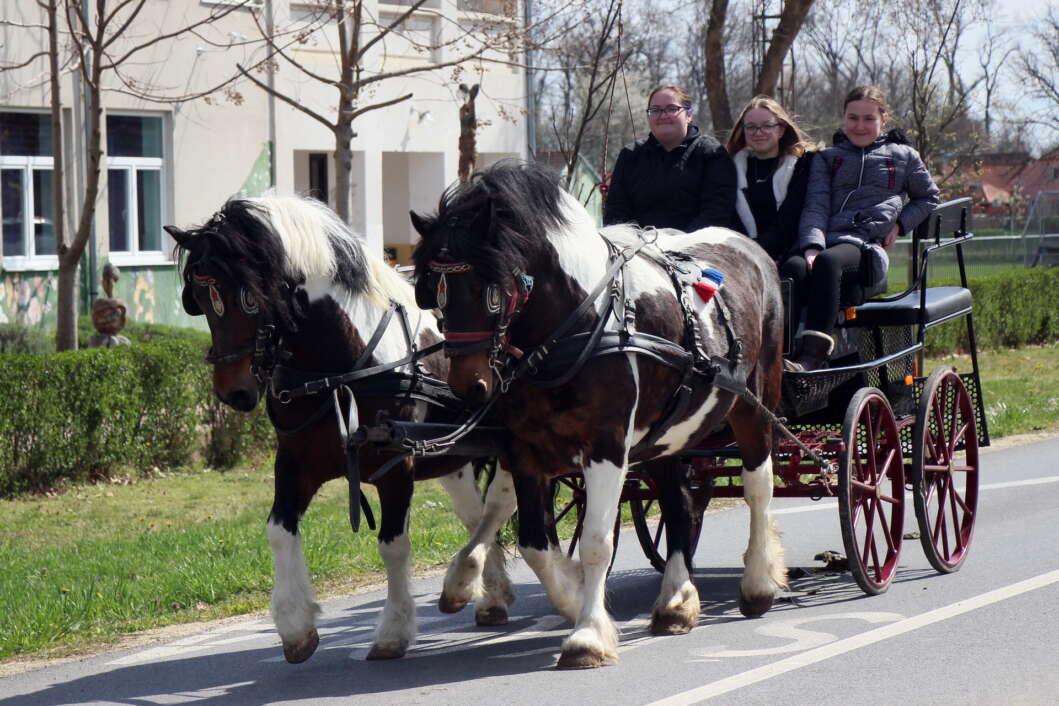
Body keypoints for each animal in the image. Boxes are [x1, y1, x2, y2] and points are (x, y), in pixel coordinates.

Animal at [162, 195, 521, 664]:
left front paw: (393, 630)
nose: (233, 392)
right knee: (477, 516)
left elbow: (393, 545)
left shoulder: (396, 465)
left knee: (502, 504)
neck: (336, 372)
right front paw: (295, 625)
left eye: (250, 296)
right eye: (201, 299)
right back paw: (489, 593)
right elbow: (278, 532)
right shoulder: (296, 462)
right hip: (454, 457)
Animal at [408, 161, 792, 673]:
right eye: (433, 293)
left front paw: (587, 635)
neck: (575, 324)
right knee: (679, 503)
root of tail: (750, 247)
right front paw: (573, 597)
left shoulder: (607, 445)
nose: (469, 388)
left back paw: (758, 582)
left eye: (490, 290)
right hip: (664, 436)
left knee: (757, 488)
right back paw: (676, 601)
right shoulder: (524, 451)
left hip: (754, 404)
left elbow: (596, 542)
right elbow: (534, 542)